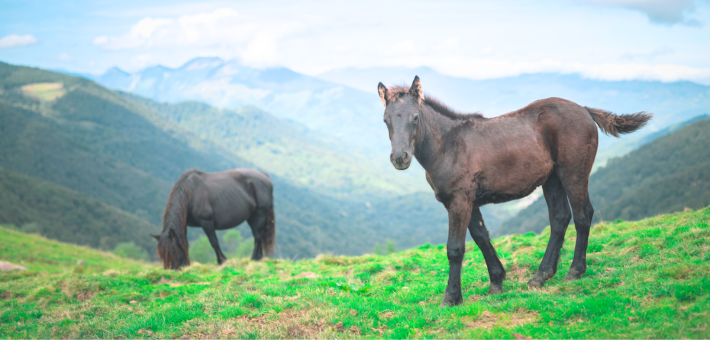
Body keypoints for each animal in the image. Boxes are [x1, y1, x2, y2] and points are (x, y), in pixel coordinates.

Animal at [382, 76, 652, 306]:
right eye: (386, 120)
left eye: (415, 117)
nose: (400, 158)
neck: (448, 145)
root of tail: (584, 110)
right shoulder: (469, 202)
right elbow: (482, 238)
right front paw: (496, 282)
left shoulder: (459, 202)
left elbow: (455, 249)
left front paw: (451, 298)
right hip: (552, 180)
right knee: (560, 218)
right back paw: (541, 276)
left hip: (573, 174)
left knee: (582, 216)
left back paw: (574, 272)